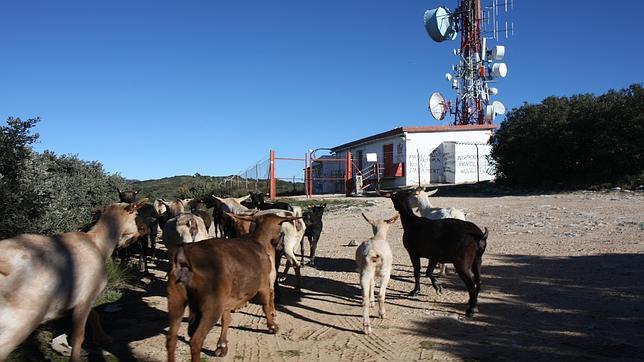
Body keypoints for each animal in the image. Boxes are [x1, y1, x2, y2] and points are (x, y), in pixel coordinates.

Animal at [0, 199, 146, 360]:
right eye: (136, 214)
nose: (142, 231)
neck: (99, 244)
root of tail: (4, 262)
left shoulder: (79, 297)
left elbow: (94, 314)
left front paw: (103, 338)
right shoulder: (86, 296)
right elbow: (78, 336)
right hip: (20, 318)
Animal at [165, 214, 298, 360]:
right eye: (282, 232)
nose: (281, 246)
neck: (259, 243)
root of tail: (184, 258)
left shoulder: (227, 299)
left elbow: (226, 319)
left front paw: (222, 345)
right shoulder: (263, 285)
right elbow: (266, 306)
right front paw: (272, 326)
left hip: (176, 301)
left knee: (171, 339)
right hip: (211, 306)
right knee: (196, 341)